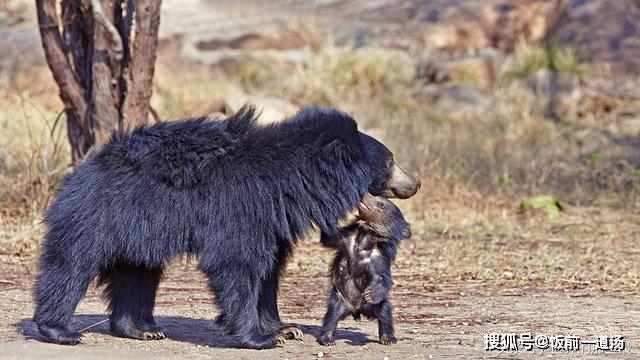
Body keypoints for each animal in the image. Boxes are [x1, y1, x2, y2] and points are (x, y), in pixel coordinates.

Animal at [33, 106, 420, 348]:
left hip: (141, 229)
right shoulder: (244, 207)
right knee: (72, 264)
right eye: (390, 161)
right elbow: (237, 263)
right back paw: (60, 330)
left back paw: (141, 330)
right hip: (98, 215)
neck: (294, 182)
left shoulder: (273, 218)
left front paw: (286, 328)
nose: (415, 183)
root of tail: (88, 163)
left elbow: (270, 272)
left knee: (138, 273)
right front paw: (262, 338)